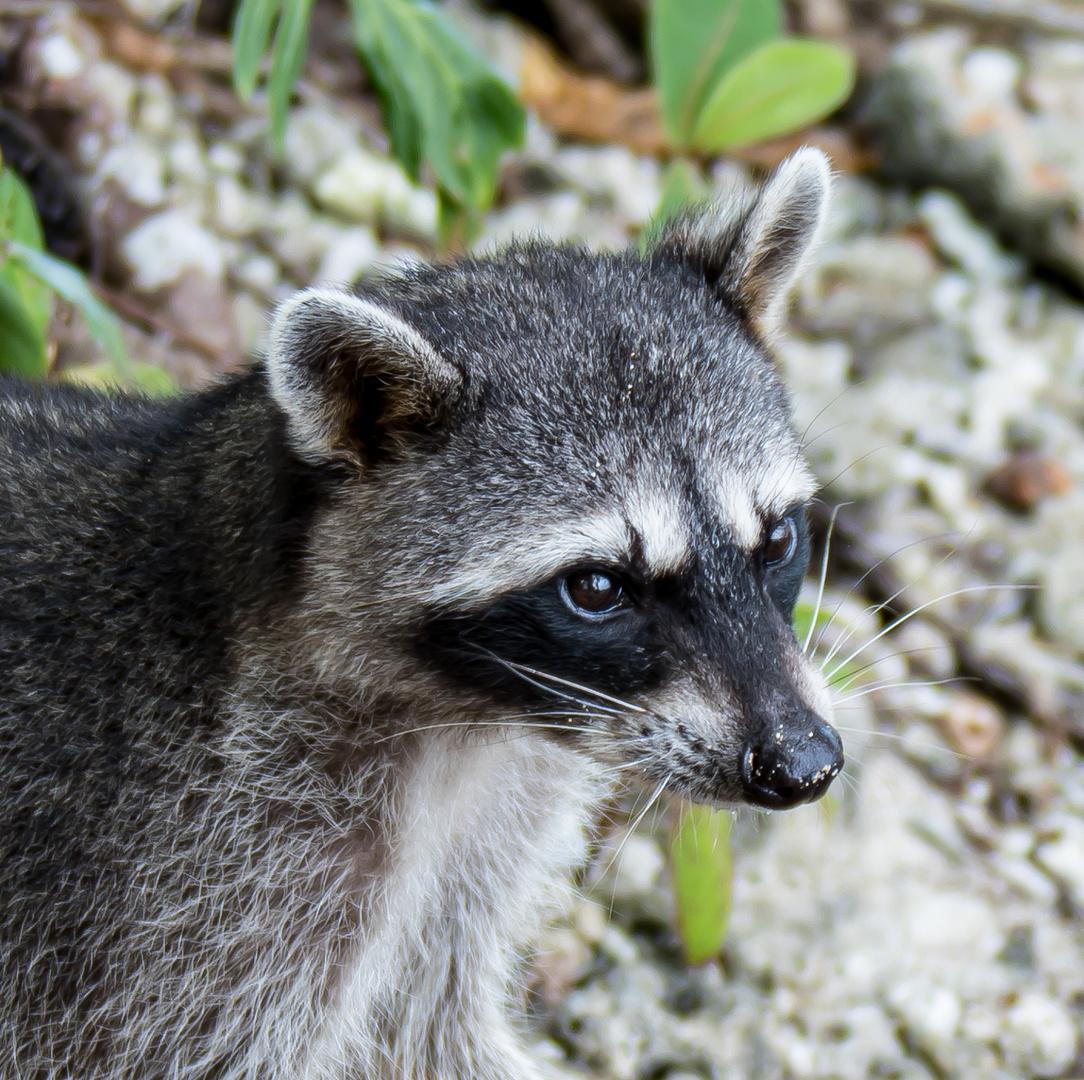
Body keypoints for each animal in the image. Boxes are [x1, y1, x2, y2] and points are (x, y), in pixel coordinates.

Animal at [0, 147, 841, 1075]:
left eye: (776, 540)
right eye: (597, 588)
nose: (804, 764)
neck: (468, 718)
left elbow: (434, 1031)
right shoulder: (178, 901)